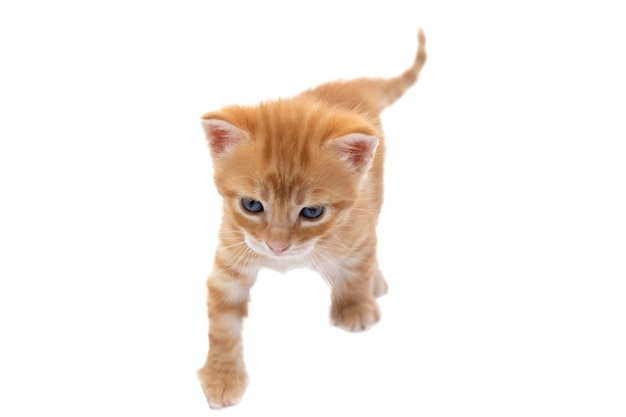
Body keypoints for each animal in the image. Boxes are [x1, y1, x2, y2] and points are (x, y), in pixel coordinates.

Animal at [197, 29, 426, 406]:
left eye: (312, 212)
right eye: (252, 205)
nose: (277, 247)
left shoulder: (356, 229)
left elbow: (358, 266)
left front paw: (355, 305)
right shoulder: (230, 252)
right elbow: (222, 323)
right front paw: (221, 375)